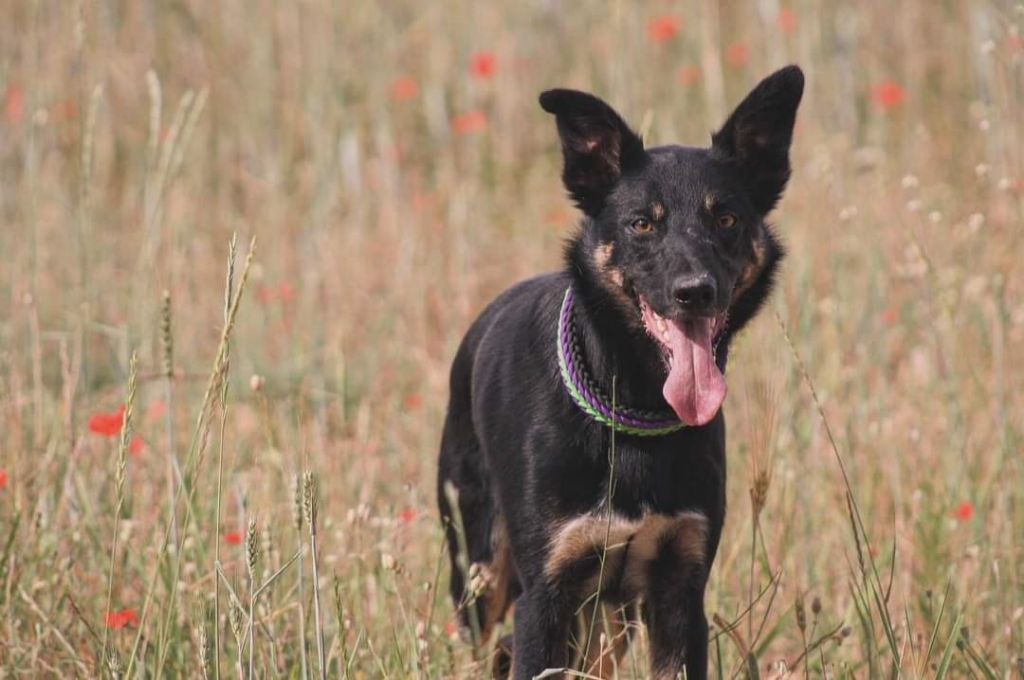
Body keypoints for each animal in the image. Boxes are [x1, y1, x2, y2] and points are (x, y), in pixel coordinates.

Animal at [436, 65, 802, 680]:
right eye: (642, 224)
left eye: (726, 218)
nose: (695, 292)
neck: (634, 411)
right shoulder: (545, 597)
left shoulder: (680, 593)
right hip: (481, 569)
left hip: (609, 622)